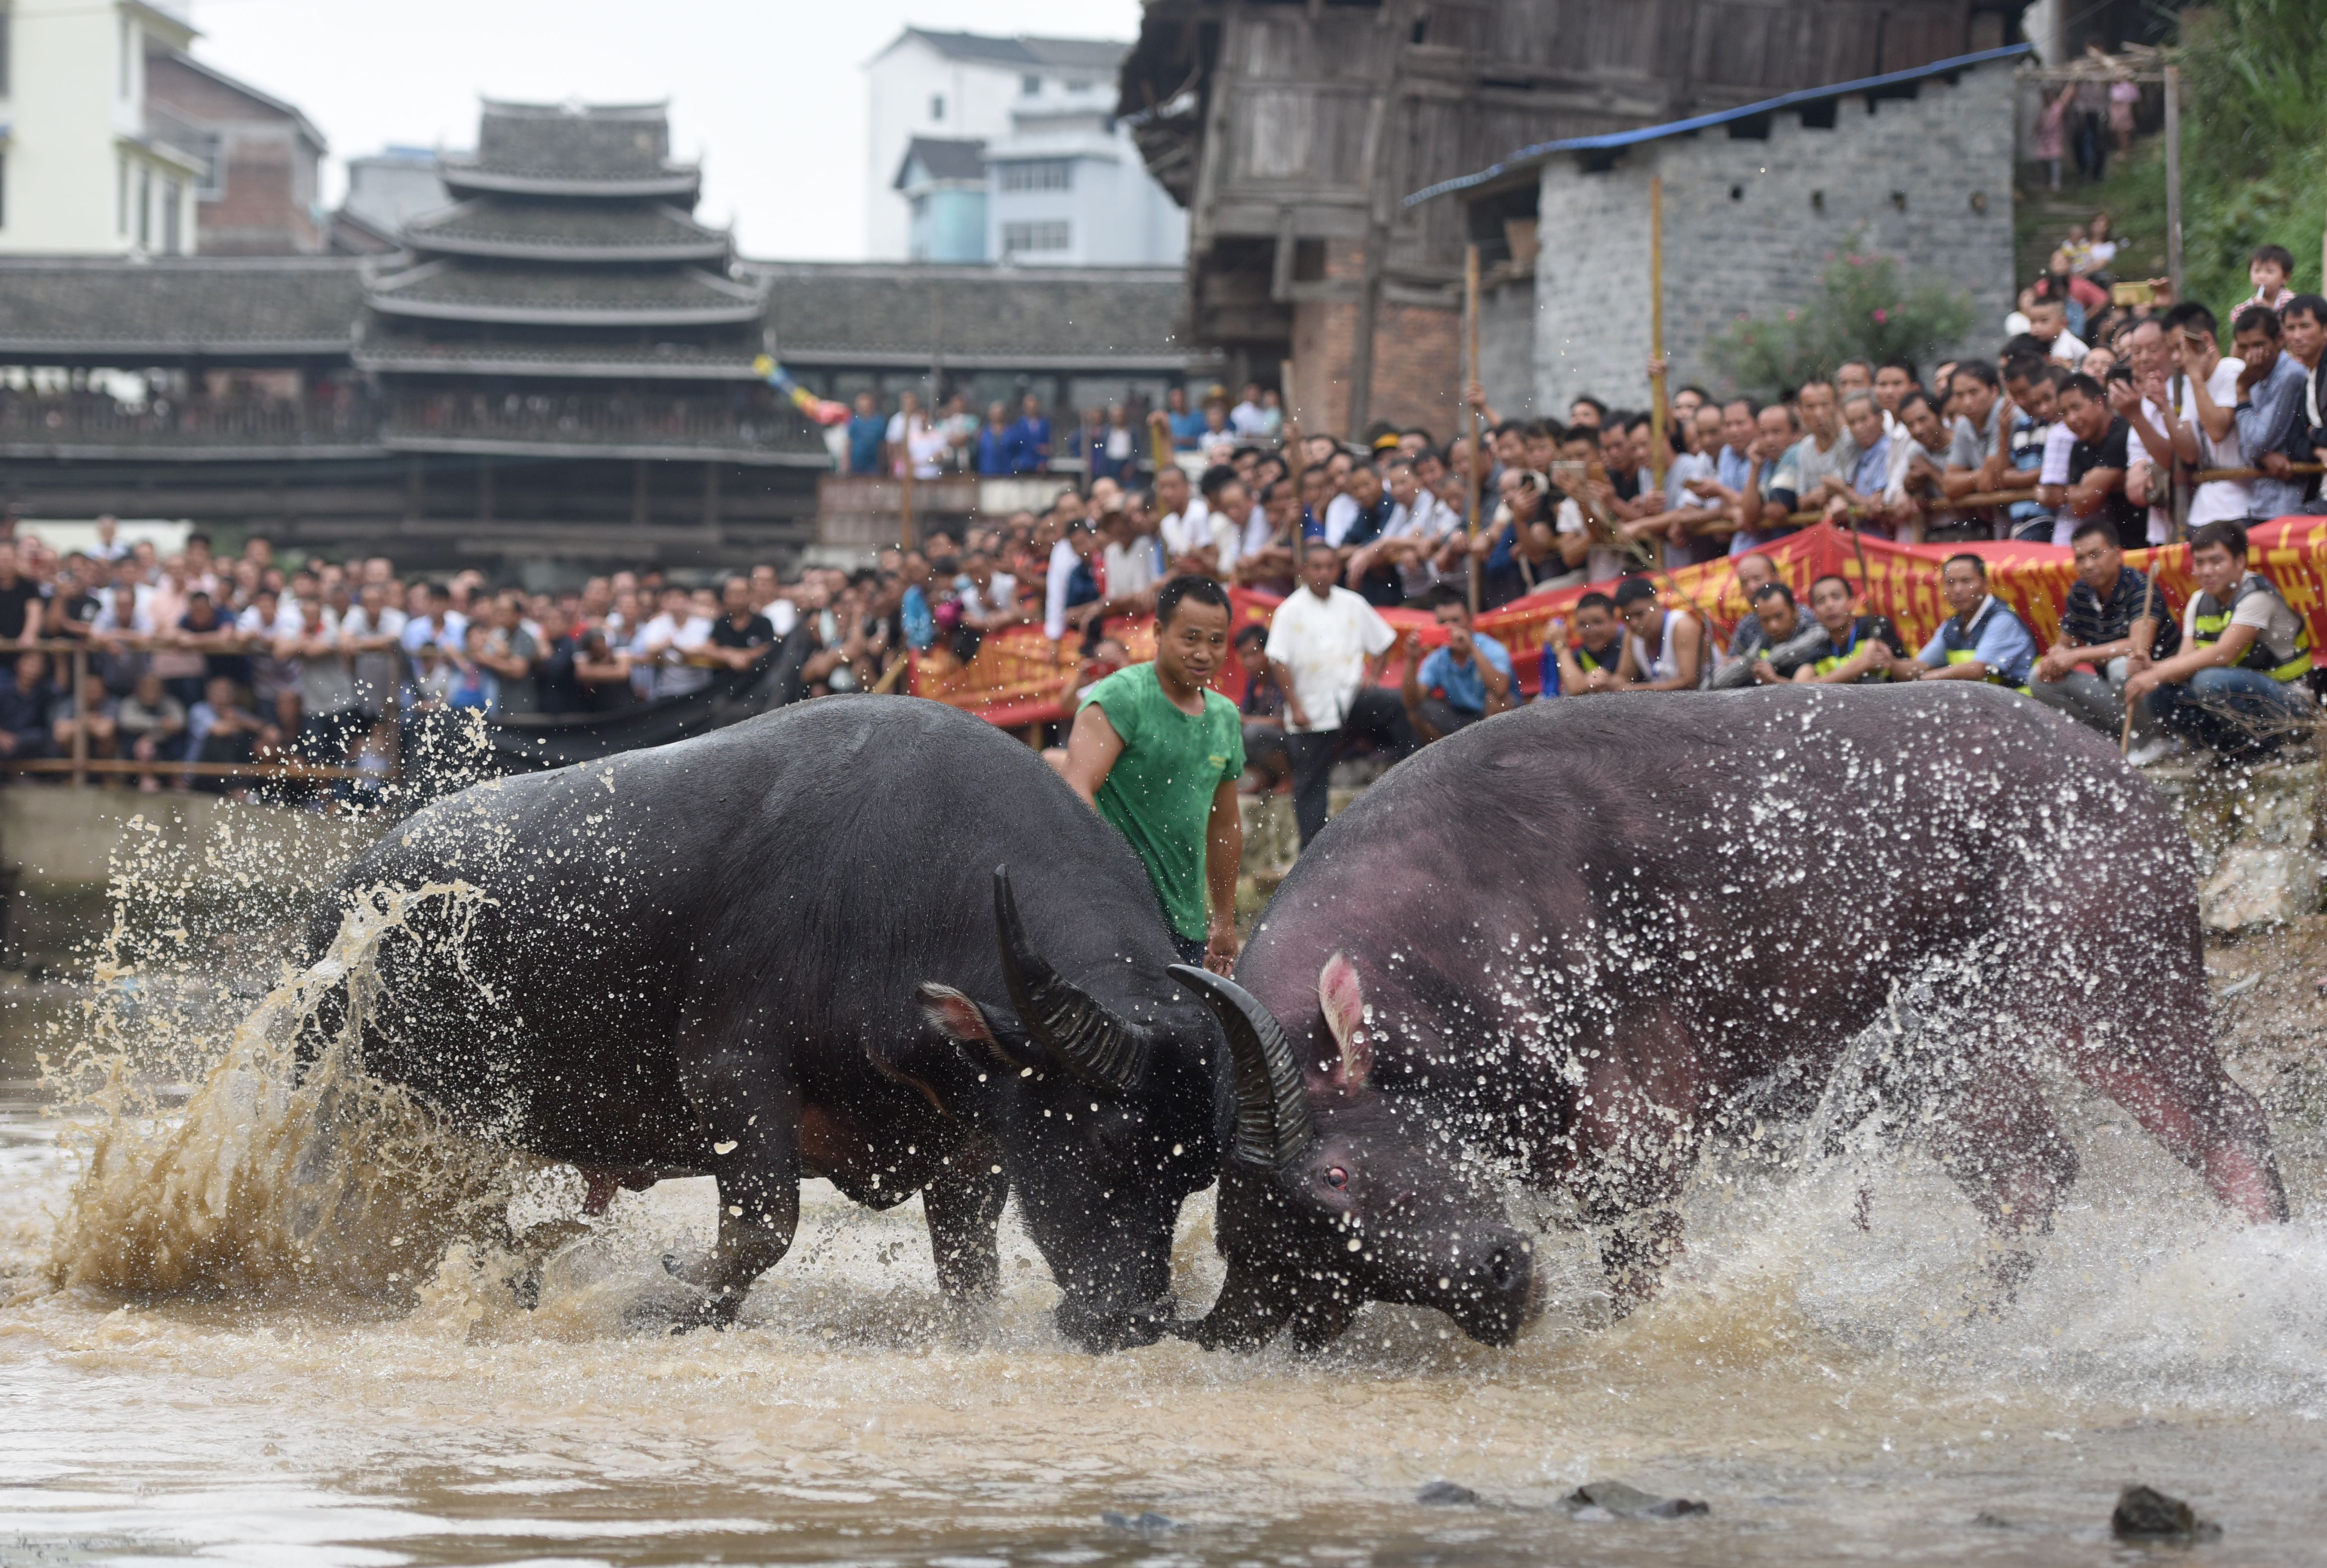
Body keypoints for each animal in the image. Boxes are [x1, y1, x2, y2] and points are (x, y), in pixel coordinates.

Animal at [319, 698, 1247, 1340]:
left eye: (1198, 1172)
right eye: (1108, 1143)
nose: (1136, 1320)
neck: (900, 889)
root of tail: (358, 876)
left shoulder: (973, 1136)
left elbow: (969, 1265)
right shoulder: (732, 1074)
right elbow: (762, 1224)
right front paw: (674, 1299)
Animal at [1182, 684, 2289, 1340]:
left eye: (1332, 1172)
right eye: (1317, 1269)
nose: (1497, 1286)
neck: (1456, 924)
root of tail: (2121, 776)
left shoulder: (1639, 1146)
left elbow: (1640, 1276)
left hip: (2111, 991)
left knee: (2227, 1125)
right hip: (1946, 1054)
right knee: (2031, 1170)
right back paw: (1968, 1318)